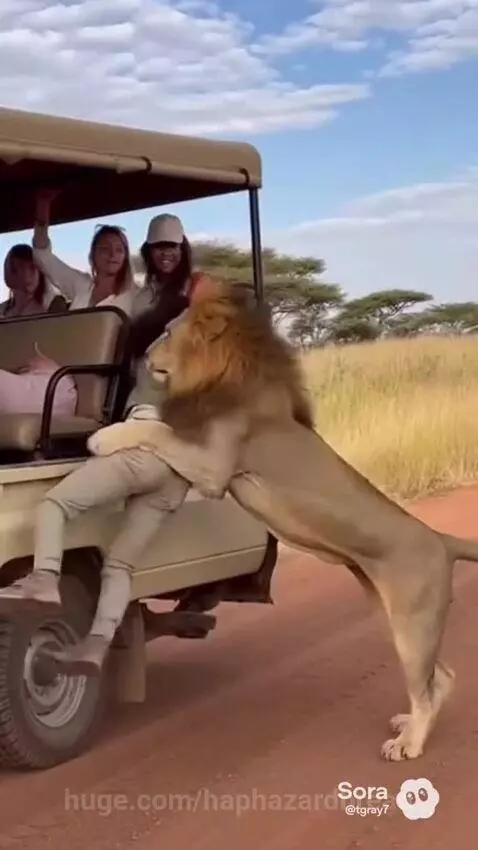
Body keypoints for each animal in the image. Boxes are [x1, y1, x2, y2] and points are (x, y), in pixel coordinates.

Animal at [88, 276, 478, 763]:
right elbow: (157, 423)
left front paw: (102, 438)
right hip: (392, 608)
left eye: (166, 332)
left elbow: (157, 430)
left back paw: (409, 743)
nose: (141, 357)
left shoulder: (214, 468)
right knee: (441, 677)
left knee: (427, 685)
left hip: (412, 619)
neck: (228, 377)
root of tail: (441, 538)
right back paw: (408, 725)